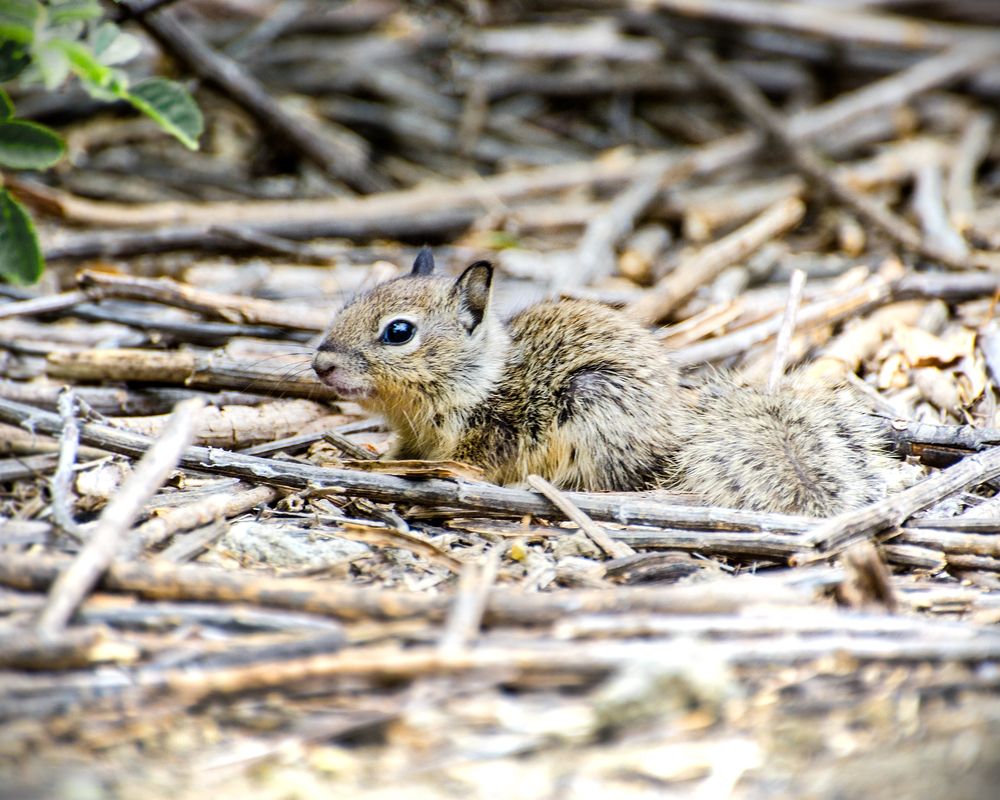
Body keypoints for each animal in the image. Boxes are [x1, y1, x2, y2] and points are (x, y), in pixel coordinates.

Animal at [313, 249, 889, 516]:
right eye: (345, 306)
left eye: (399, 332)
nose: (320, 365)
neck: (477, 380)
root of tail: (673, 449)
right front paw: (372, 455)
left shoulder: (487, 437)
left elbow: (461, 463)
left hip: (591, 405)